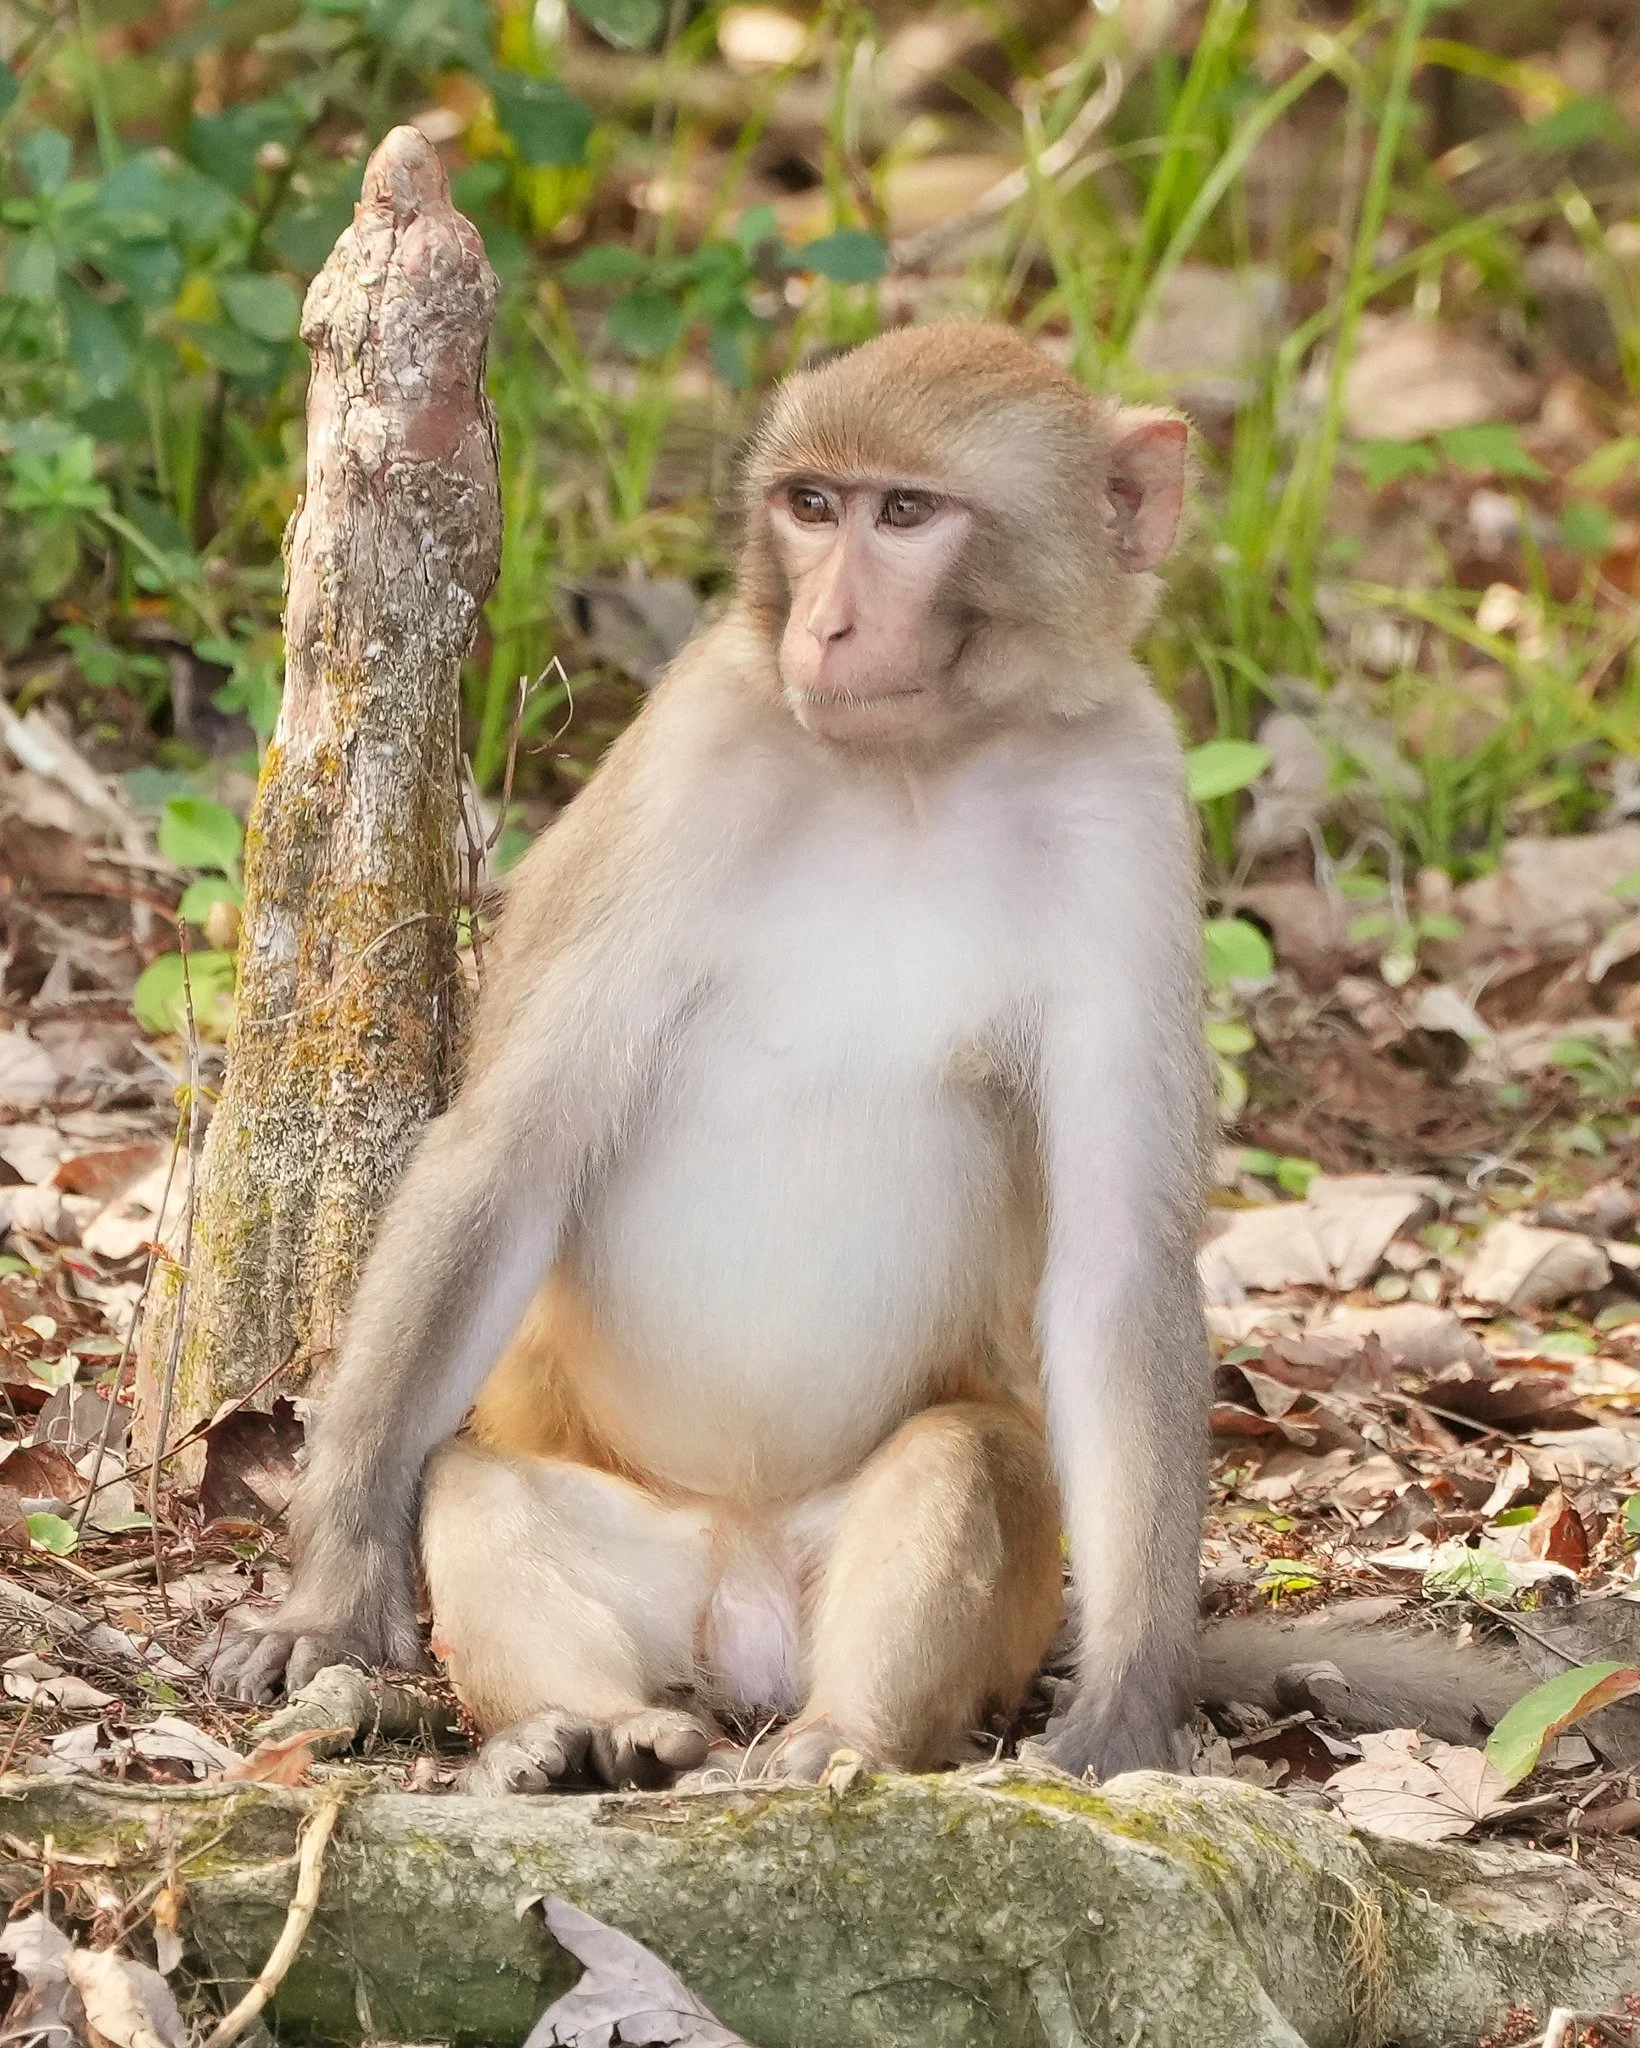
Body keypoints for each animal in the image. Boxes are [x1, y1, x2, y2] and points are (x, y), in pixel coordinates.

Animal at [206, 321, 1527, 1789]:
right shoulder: (696, 744)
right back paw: (592, 1724)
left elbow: (1118, 1258)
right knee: (476, 1479)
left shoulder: (1131, 792)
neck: (915, 765)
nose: (825, 623)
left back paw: (842, 1733)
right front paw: (333, 1595)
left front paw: (1133, 1696)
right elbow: (510, 1155)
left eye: (904, 514)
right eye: (809, 504)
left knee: (967, 1461)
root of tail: (742, 1612)